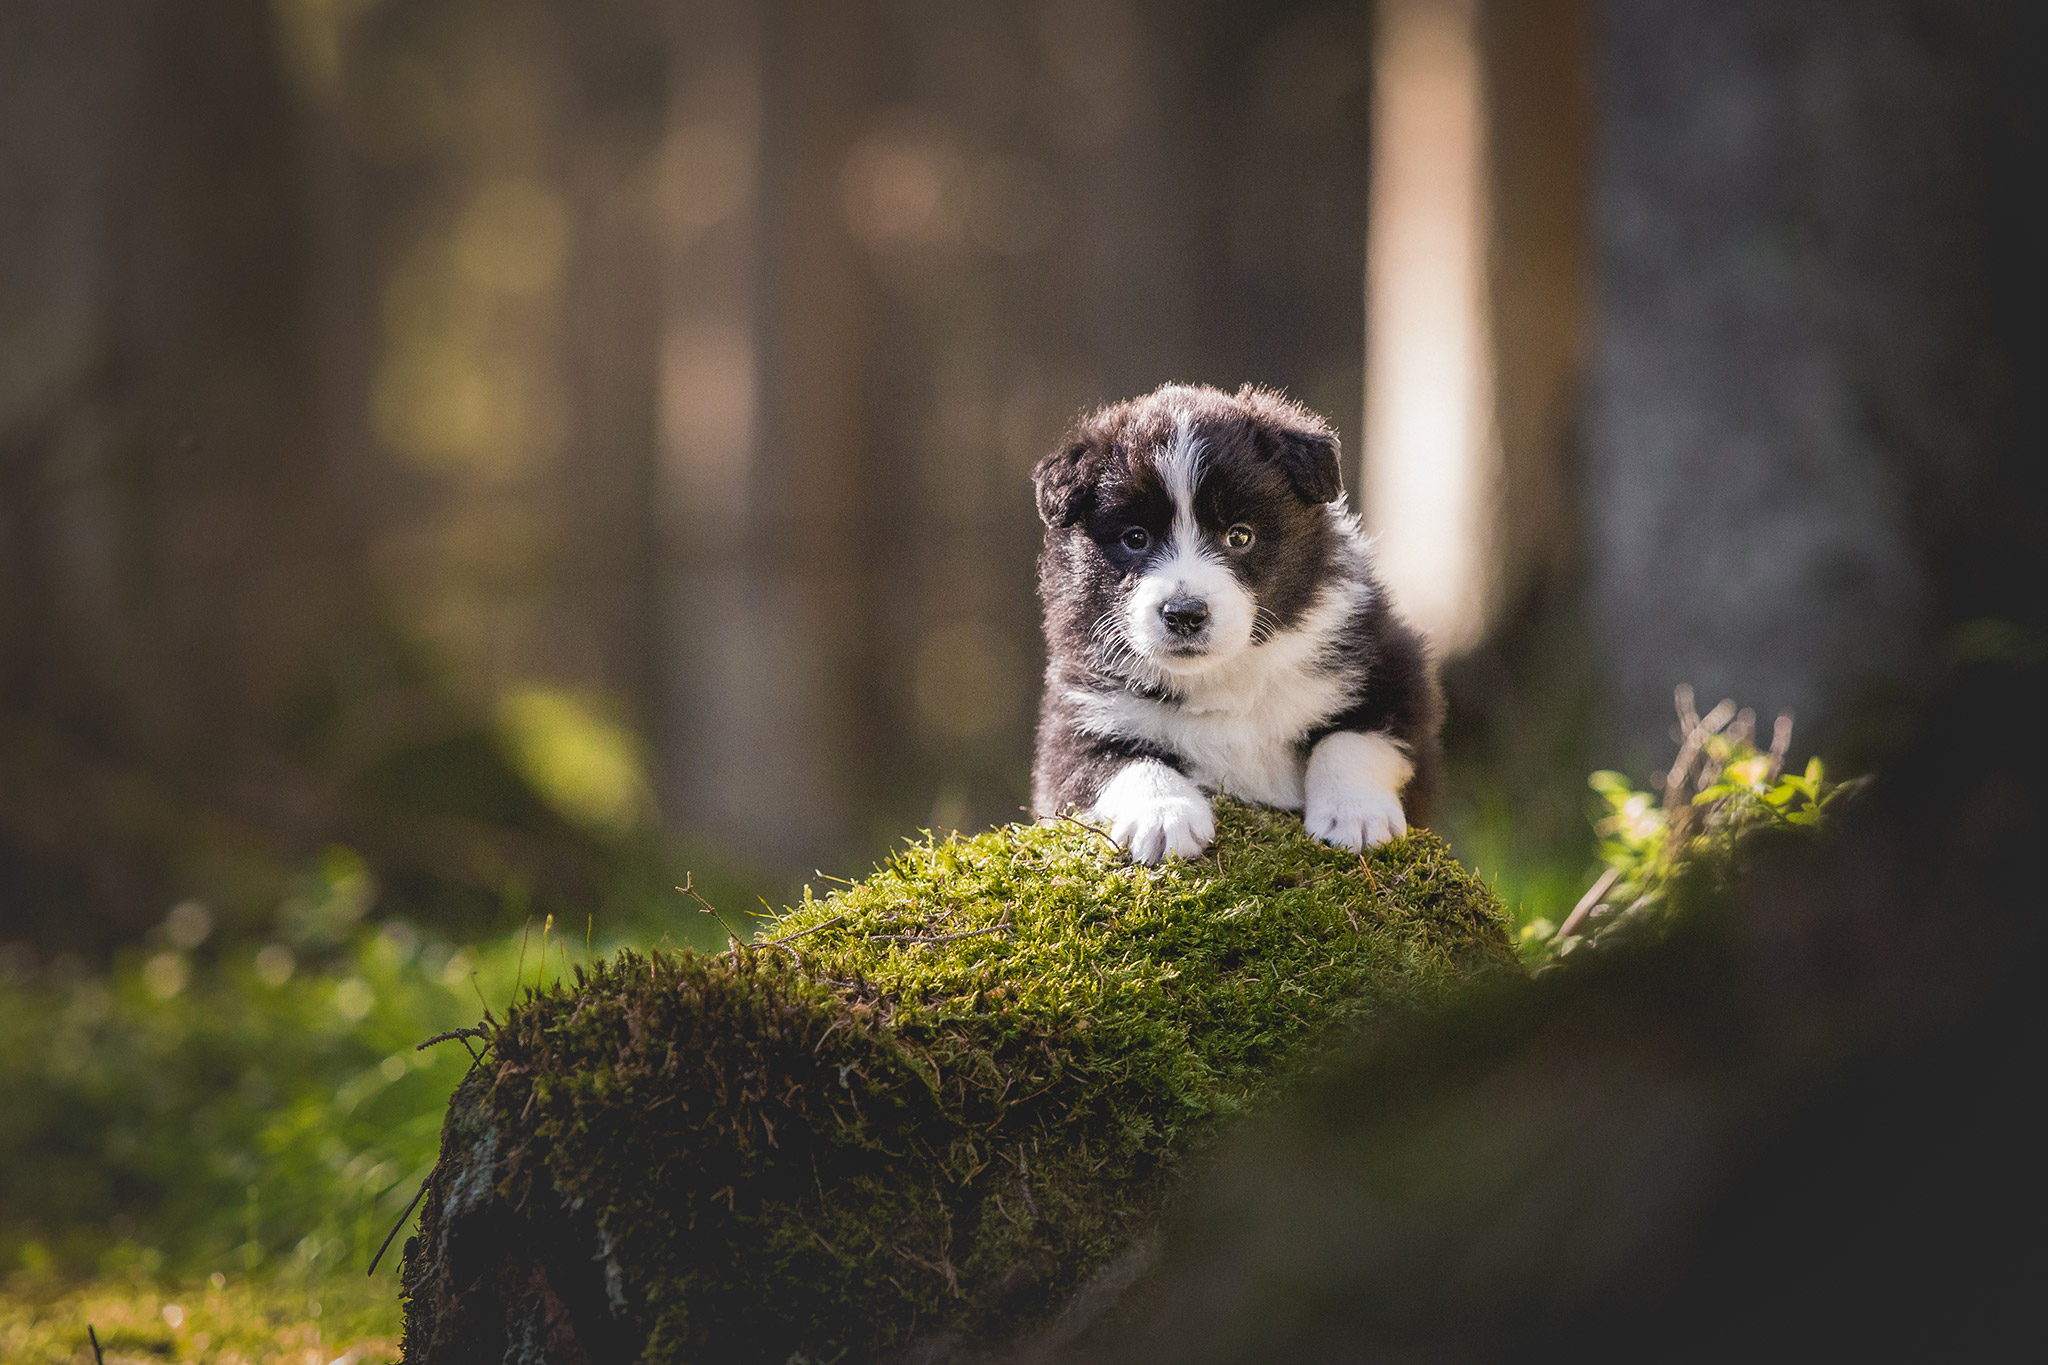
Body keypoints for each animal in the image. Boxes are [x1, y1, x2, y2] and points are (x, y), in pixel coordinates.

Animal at [1024, 378, 1441, 859]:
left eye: (1239, 536)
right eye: (1135, 538)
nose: (1185, 614)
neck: (1224, 676)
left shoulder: (1392, 668)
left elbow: (1355, 737)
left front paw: (1354, 814)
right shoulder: (1075, 718)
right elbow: (1117, 762)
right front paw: (1164, 816)